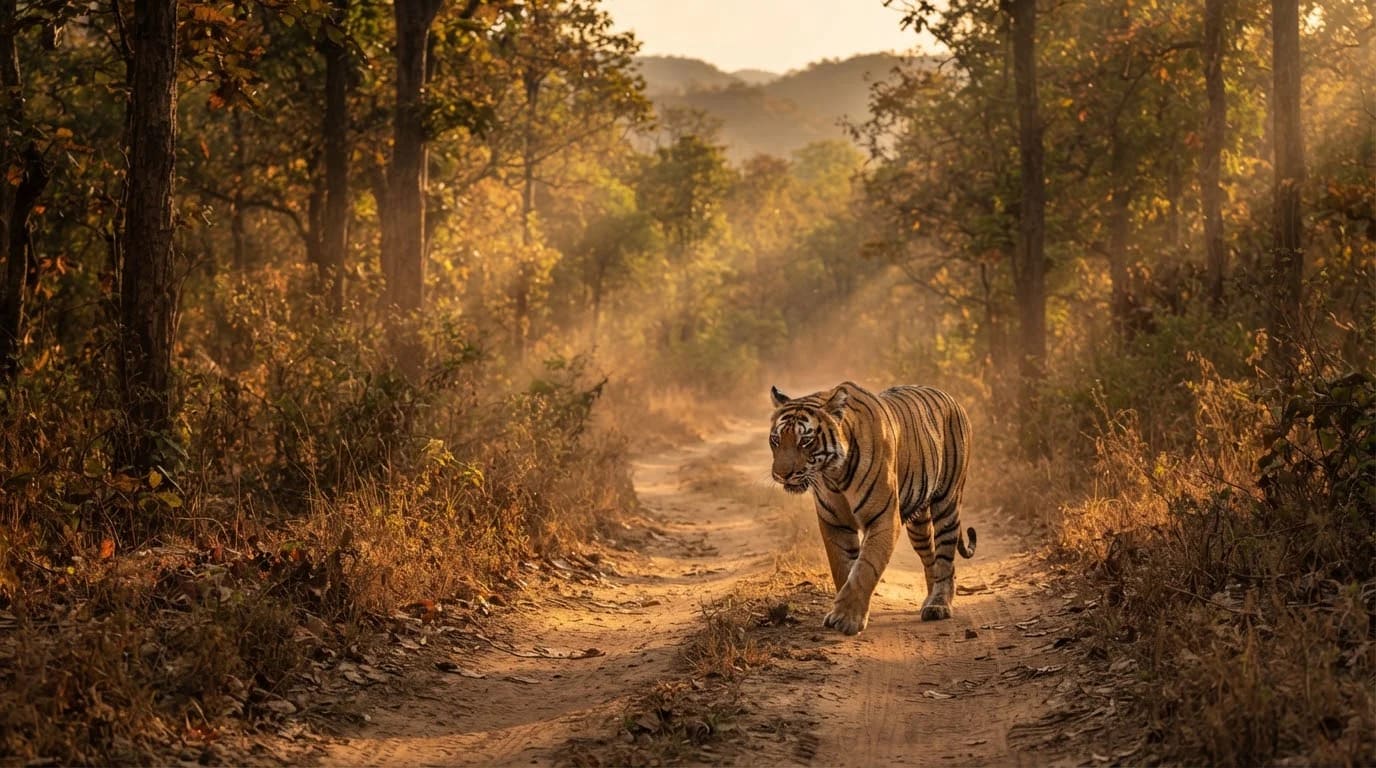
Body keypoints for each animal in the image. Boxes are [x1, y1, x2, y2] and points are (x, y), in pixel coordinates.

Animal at [768, 381, 976, 635]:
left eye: (805, 441)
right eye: (776, 440)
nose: (781, 474)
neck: (833, 474)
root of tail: (949, 396)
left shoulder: (883, 518)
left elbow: (865, 568)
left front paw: (847, 618)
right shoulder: (834, 523)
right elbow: (843, 567)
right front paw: (844, 612)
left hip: (947, 503)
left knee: (945, 558)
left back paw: (939, 605)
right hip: (918, 524)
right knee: (931, 559)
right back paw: (929, 599)